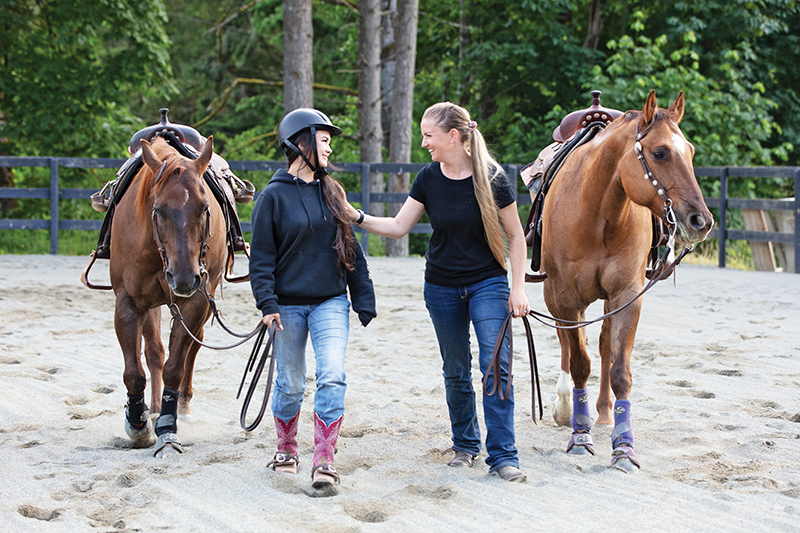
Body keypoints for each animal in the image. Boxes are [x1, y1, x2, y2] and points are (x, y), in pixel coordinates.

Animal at [110, 135, 226, 457]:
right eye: (159, 209)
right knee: (154, 352)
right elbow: (134, 371)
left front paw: (167, 428)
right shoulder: (128, 302)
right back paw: (151, 409)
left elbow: (176, 366)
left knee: (191, 350)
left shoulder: (197, 302)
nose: (185, 277)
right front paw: (137, 424)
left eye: (203, 207)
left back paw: (181, 407)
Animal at [540, 90, 713, 472]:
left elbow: (620, 369)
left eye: (691, 151)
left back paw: (603, 413)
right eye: (660, 152)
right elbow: (579, 362)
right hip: (553, 294)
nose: (701, 220)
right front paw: (580, 435)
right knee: (565, 341)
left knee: (604, 343)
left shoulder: (626, 295)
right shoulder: (565, 296)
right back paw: (566, 407)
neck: (597, 213)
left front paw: (623, 446)